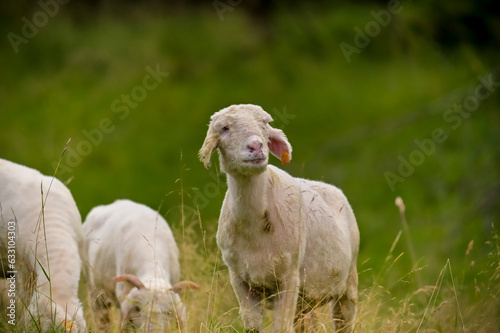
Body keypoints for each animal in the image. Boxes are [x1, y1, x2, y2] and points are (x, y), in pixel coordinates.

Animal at [199, 104, 360, 332]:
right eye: (224, 128)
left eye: (264, 123)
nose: (256, 146)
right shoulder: (239, 279)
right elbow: (253, 326)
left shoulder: (288, 277)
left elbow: (281, 328)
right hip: (306, 299)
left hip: (348, 283)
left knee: (345, 319)